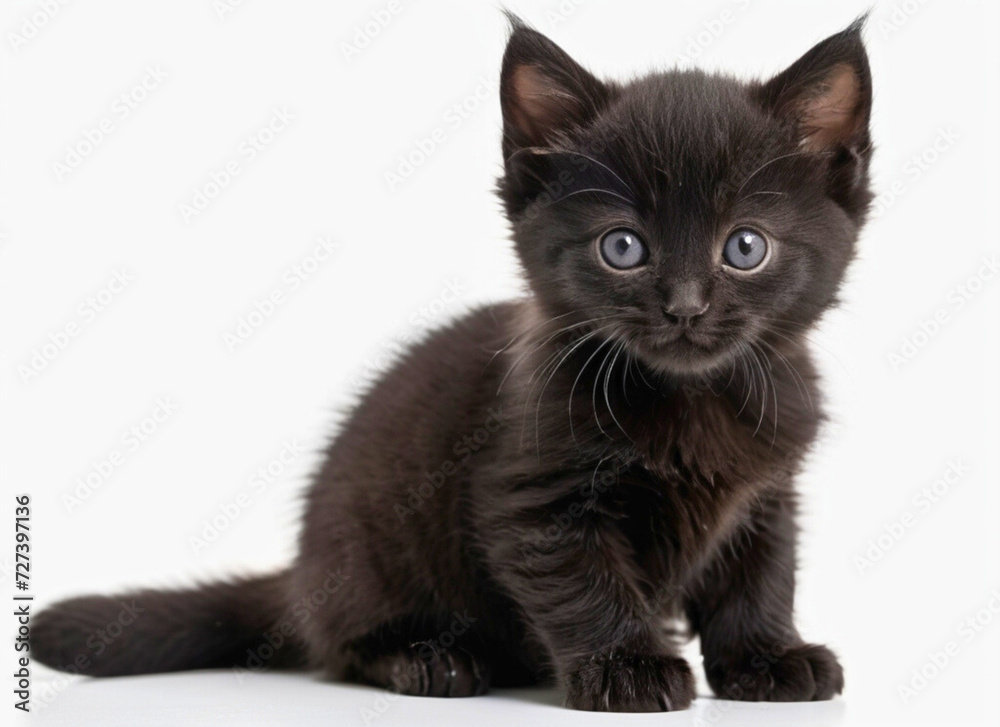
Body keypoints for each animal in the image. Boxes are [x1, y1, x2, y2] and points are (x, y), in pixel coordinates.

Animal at [35, 14, 872, 712]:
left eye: (745, 246)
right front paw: (627, 668)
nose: (686, 307)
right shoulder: (535, 496)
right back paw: (427, 659)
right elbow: (585, 581)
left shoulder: (766, 492)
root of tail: (300, 573)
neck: (691, 398)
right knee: (342, 643)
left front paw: (767, 658)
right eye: (623, 246)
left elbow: (761, 576)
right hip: (367, 547)